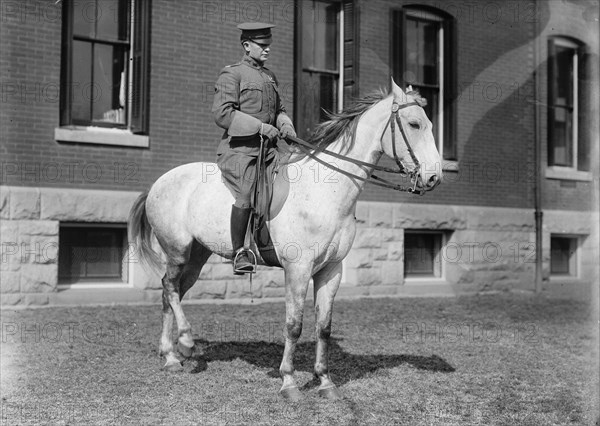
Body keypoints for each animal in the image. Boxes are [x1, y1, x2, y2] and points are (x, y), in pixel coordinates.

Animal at [129, 79, 442, 400]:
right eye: (414, 124)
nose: (434, 177)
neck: (324, 190)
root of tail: (159, 182)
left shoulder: (331, 270)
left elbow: (323, 327)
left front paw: (325, 381)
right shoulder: (298, 270)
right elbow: (294, 325)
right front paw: (289, 382)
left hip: (196, 257)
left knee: (172, 292)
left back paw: (171, 355)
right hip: (177, 250)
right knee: (170, 288)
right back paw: (185, 343)